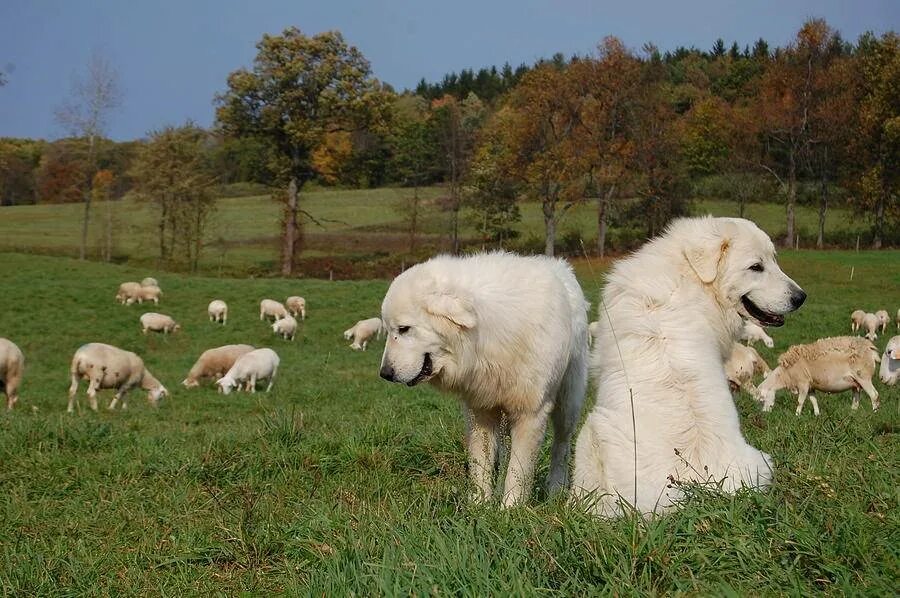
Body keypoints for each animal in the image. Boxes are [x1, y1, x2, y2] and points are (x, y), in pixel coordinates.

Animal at [378, 252, 592, 506]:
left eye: (404, 329)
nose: (385, 374)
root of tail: (563, 268)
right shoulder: (481, 410)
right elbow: (481, 464)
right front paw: (479, 505)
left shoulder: (530, 413)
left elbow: (518, 471)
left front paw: (510, 508)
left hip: (567, 403)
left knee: (561, 446)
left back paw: (556, 491)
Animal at [572, 218, 804, 516]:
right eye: (757, 267)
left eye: (773, 260)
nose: (801, 297)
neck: (689, 275)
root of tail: (697, 488)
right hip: (759, 461)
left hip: (590, 433)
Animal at [756, 338, 884, 418]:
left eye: (762, 400)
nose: (764, 414)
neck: (785, 374)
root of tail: (871, 348)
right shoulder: (810, 385)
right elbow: (813, 400)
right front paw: (817, 415)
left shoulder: (803, 383)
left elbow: (800, 401)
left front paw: (796, 415)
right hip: (855, 382)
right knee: (856, 400)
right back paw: (852, 414)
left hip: (864, 377)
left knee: (874, 395)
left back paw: (874, 414)